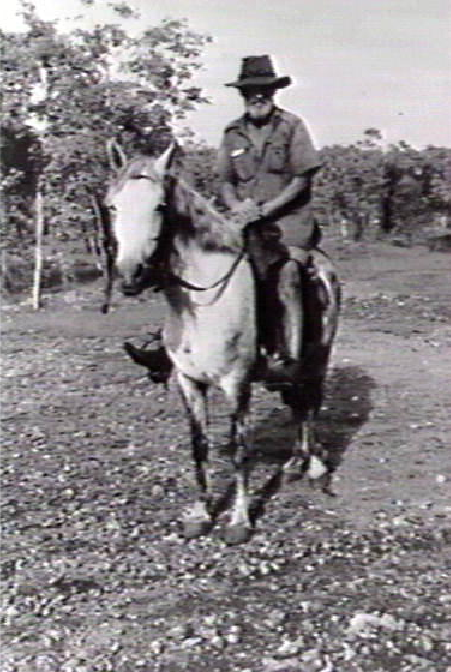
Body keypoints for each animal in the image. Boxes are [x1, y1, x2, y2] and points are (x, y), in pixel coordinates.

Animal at [105, 144, 340, 544]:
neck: (203, 304)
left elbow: (240, 450)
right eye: (113, 207)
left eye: (160, 207)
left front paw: (239, 521)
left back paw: (314, 467)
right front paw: (201, 514)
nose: (131, 275)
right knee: (297, 404)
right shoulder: (188, 382)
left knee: (310, 404)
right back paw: (295, 462)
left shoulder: (236, 384)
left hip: (318, 356)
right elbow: (198, 445)